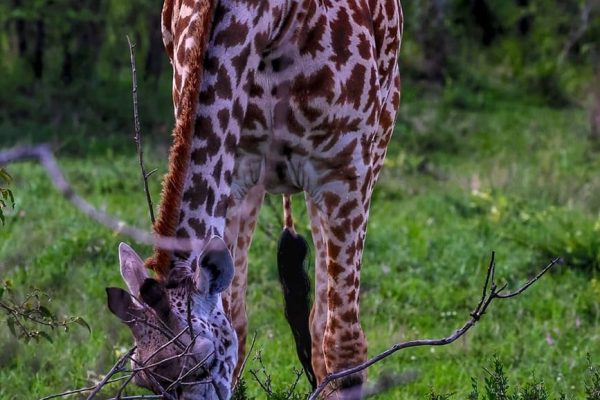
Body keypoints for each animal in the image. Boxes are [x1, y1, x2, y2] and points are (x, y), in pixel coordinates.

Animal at [108, 0, 404, 398]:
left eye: (204, 359)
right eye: (143, 377)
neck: (271, 22)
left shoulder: (345, 170)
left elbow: (346, 346)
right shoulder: (236, 178)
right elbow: (237, 322)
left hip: (376, 138)